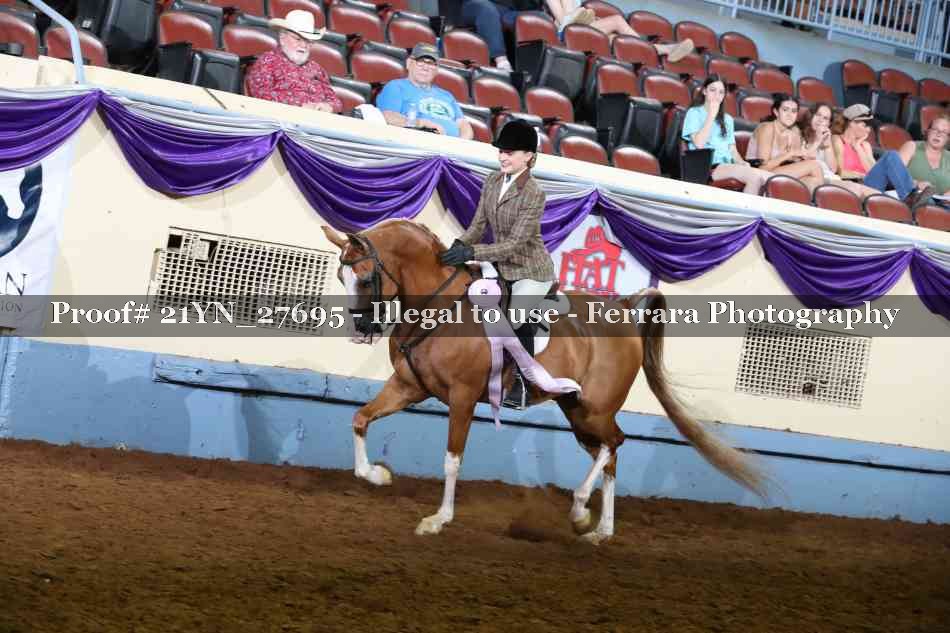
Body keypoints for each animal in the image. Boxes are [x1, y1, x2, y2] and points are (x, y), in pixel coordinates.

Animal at [321, 220, 768, 544]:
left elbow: (452, 460)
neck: (439, 306)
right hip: (576, 411)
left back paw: (580, 510)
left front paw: (438, 519)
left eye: (364, 278)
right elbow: (360, 419)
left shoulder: (462, 397)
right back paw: (599, 530)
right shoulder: (409, 386)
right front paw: (377, 475)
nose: (360, 331)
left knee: (615, 443)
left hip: (594, 409)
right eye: (341, 277)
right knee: (610, 454)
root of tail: (624, 308)